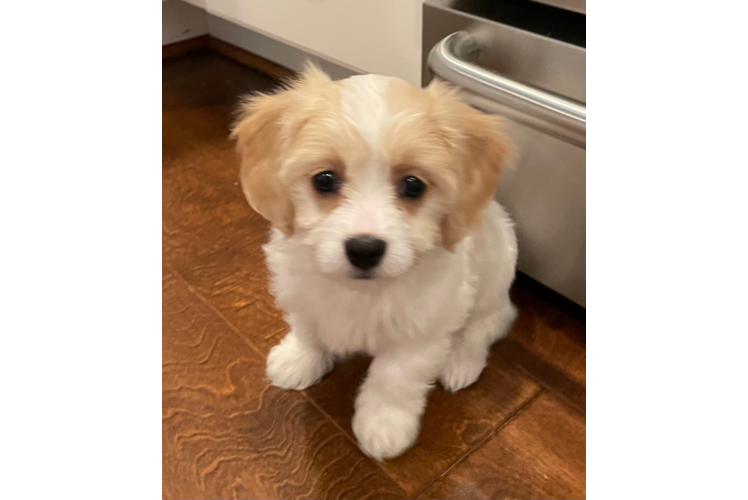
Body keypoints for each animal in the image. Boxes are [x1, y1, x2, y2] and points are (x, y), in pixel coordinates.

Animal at [231, 65, 516, 460]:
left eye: (413, 185)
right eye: (325, 180)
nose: (364, 249)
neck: (361, 290)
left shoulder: (421, 330)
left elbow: (394, 377)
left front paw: (384, 425)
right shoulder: (301, 294)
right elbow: (307, 328)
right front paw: (299, 360)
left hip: (496, 273)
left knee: (489, 322)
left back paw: (462, 361)